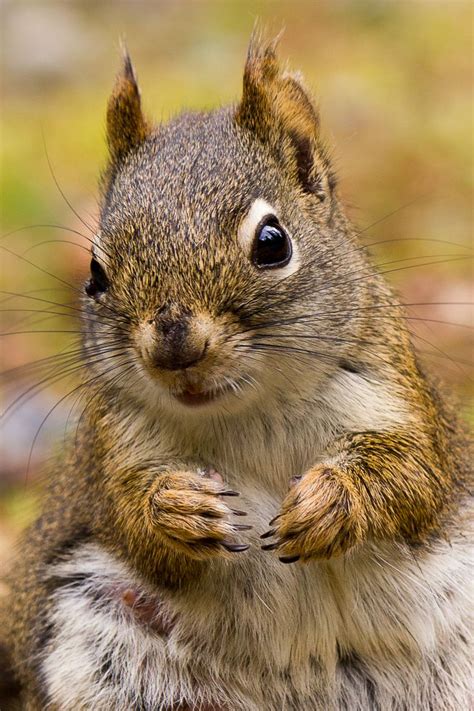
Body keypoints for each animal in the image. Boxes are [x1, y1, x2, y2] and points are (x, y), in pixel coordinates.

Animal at [1, 30, 472, 708]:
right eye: (95, 273)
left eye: (273, 243)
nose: (174, 347)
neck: (252, 411)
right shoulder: (117, 446)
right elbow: (131, 519)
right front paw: (177, 509)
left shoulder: (394, 396)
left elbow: (411, 478)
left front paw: (328, 502)